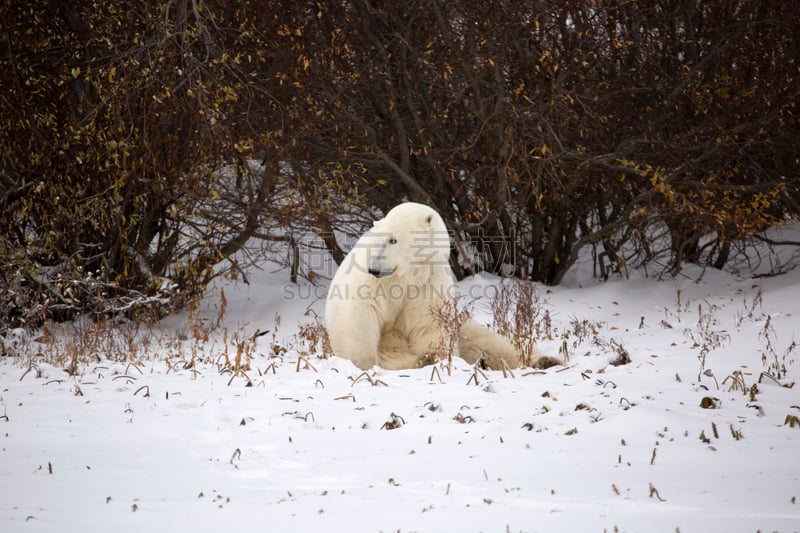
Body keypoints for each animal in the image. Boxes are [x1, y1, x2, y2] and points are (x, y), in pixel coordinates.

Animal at [322, 202, 560, 372]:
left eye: (392, 240)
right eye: (379, 239)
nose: (374, 268)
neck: (407, 273)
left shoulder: (428, 283)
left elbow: (429, 323)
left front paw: (436, 357)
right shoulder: (372, 283)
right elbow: (359, 316)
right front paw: (363, 365)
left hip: (463, 326)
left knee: (491, 343)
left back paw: (545, 361)